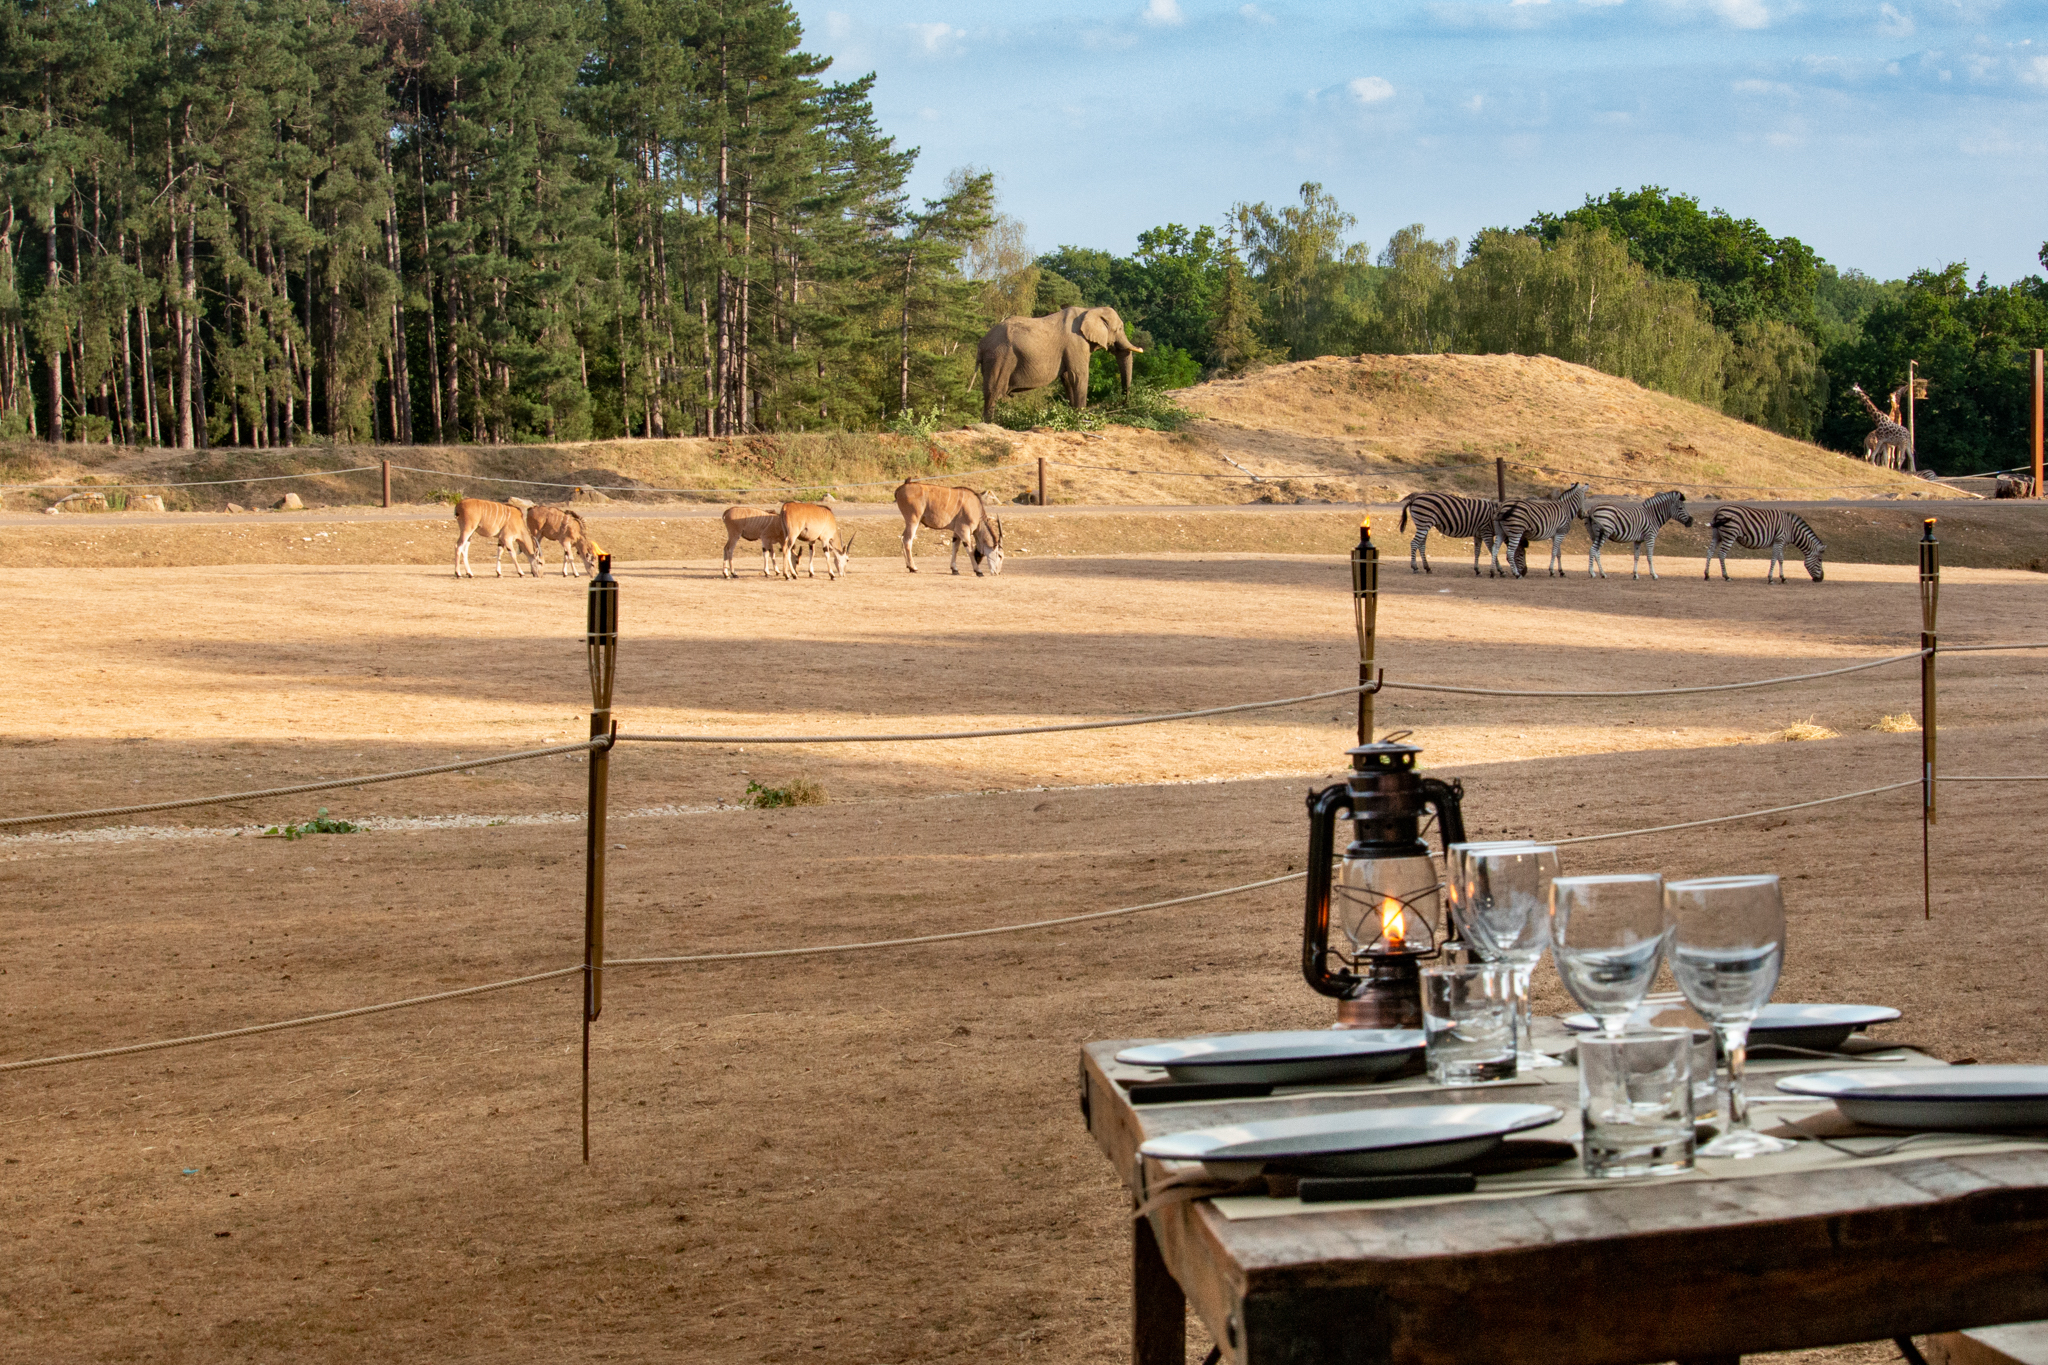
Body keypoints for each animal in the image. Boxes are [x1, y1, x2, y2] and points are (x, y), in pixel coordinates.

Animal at [970, 304, 1146, 421]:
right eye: (1120, 329)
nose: (1123, 404)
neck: (1090, 309)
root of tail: (981, 344)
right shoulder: (1076, 342)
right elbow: (1079, 376)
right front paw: (1081, 418)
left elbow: (1068, 378)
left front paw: (1073, 415)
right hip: (1000, 357)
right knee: (995, 391)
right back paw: (992, 424)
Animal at [1703, 505, 1835, 585]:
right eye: (1820, 559)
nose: (1821, 579)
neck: (1792, 530)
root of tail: (1718, 510)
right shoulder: (1779, 540)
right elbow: (1774, 559)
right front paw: (1771, 579)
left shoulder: (1780, 542)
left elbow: (1781, 559)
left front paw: (1783, 578)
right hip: (1730, 534)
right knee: (1721, 554)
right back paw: (1726, 576)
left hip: (1717, 535)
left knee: (1710, 551)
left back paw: (1707, 575)